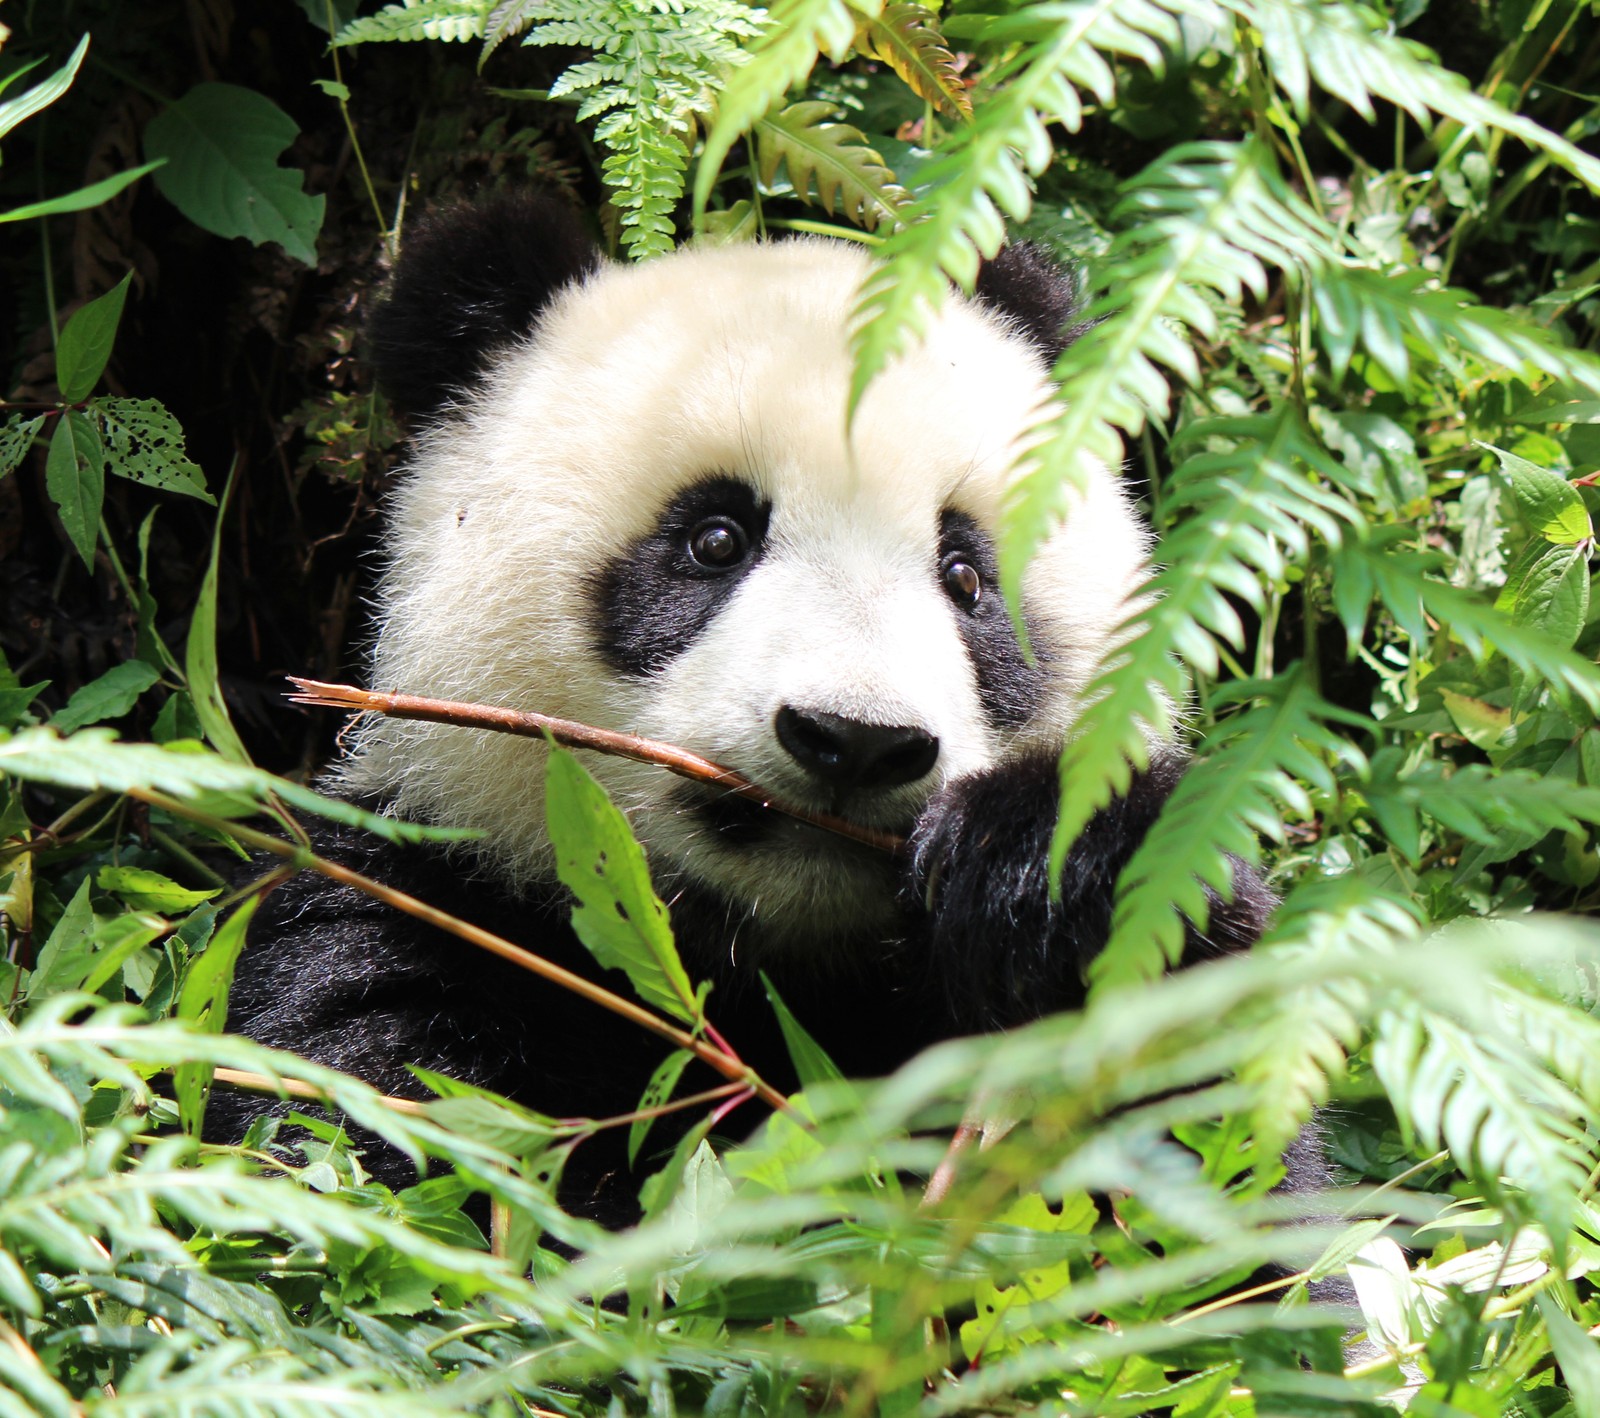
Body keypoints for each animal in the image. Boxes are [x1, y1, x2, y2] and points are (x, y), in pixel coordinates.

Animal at [222, 194, 1273, 1229]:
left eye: (965, 576)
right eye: (714, 540)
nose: (856, 741)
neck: (777, 965)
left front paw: (1047, 871)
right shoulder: (419, 906)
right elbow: (379, 1144)